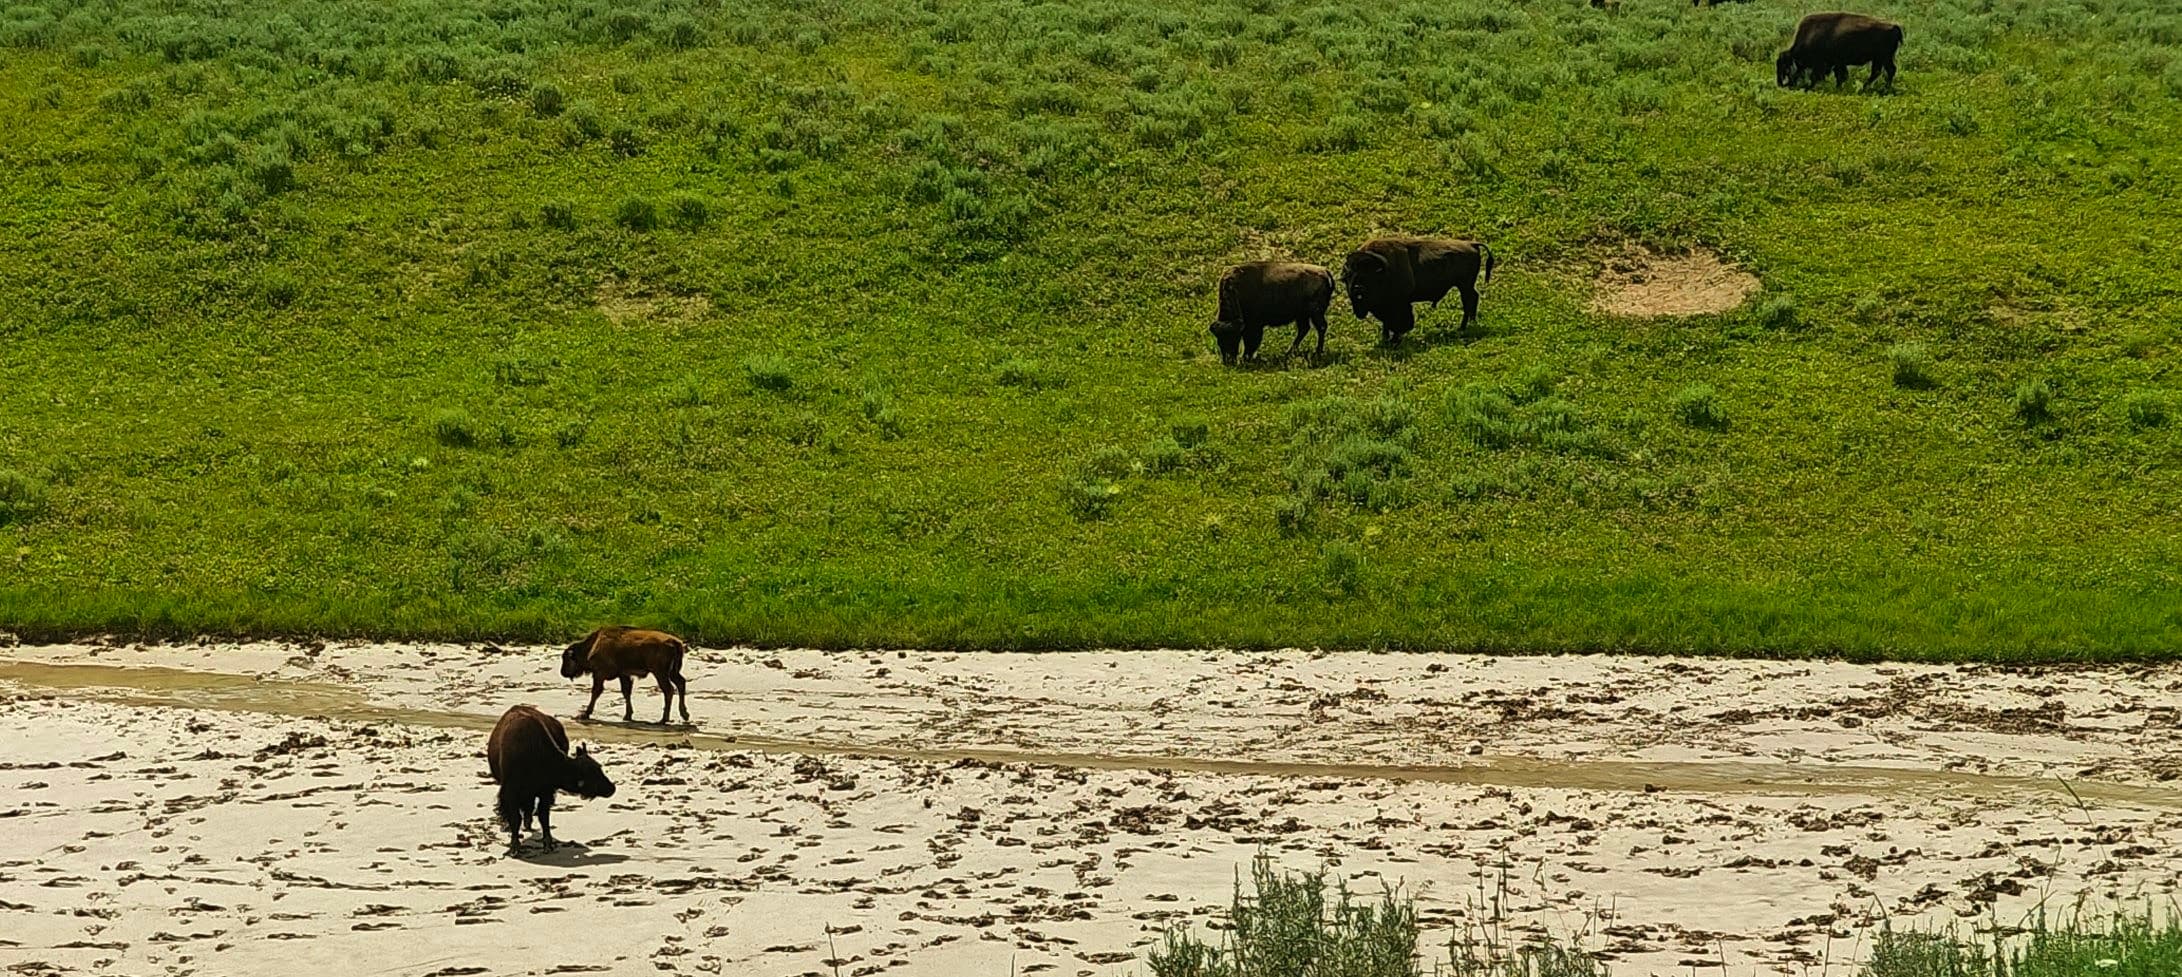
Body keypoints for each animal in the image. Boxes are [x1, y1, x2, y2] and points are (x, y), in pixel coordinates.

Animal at [487, 704, 615, 854]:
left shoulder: (545, 792)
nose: (612, 788)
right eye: (592, 773)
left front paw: (548, 844)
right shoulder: (510, 792)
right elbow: (515, 818)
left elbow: (543, 816)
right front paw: (515, 847)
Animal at [561, 626, 692, 725]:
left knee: (668, 690)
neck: (593, 645)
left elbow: (596, 692)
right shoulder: (623, 675)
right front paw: (627, 716)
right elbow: (626, 692)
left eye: (566, 658)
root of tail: (674, 642)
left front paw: (585, 714)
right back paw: (684, 715)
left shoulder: (599, 674)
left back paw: (663, 720)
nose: (562, 672)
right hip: (672, 673)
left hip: (660, 673)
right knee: (680, 683)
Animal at [1339, 237, 1496, 346]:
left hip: (1464, 286)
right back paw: (1469, 324)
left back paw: (1463, 327)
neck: (1383, 271)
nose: (1357, 289)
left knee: (1469, 301)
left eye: (1367, 275)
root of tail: (1471, 244)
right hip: (1465, 286)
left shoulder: (1399, 304)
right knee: (1472, 299)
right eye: (1348, 277)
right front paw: (1386, 339)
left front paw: (1394, 339)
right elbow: (1386, 323)